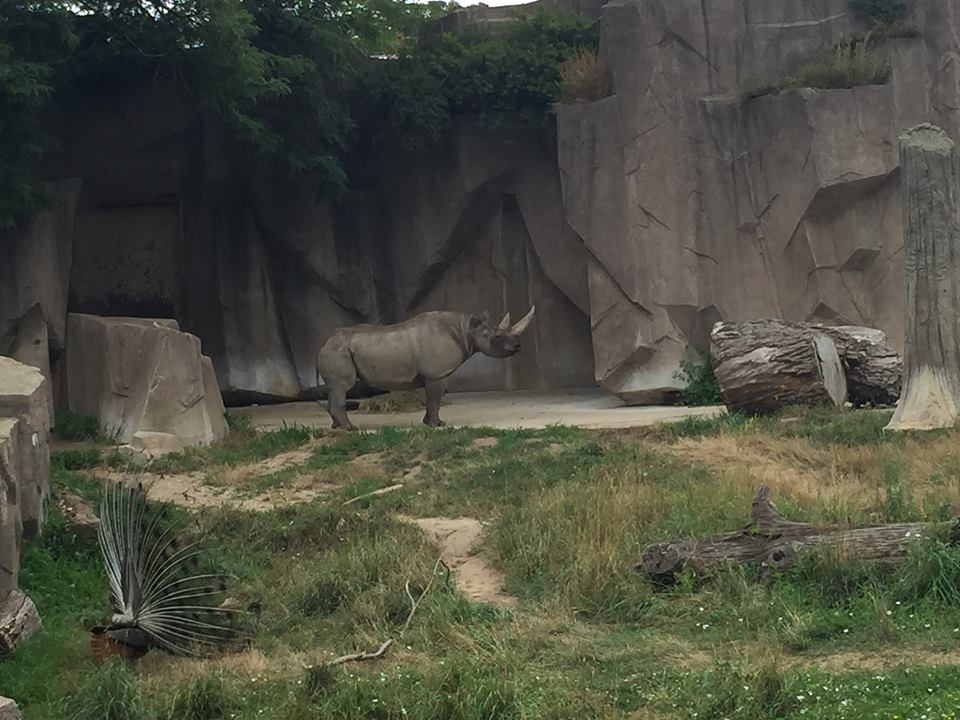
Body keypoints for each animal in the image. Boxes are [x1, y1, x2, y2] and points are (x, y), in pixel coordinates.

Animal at [315, 306, 535, 430]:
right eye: (497, 336)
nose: (518, 346)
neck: (466, 330)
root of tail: (323, 344)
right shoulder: (438, 374)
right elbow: (435, 399)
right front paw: (438, 425)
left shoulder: (431, 374)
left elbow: (431, 400)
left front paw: (427, 423)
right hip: (338, 351)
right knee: (343, 386)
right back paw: (350, 429)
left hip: (337, 351)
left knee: (335, 388)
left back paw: (336, 428)